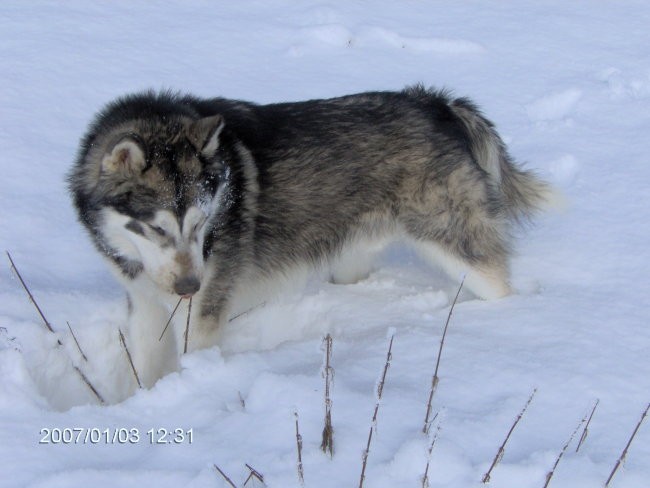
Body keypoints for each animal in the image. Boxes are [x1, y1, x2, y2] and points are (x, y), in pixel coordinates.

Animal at [69, 85, 548, 388]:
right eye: (156, 228)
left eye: (203, 222)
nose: (190, 286)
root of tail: (433, 101)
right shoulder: (145, 303)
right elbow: (145, 366)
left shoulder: (203, 313)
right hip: (352, 257)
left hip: (457, 242)